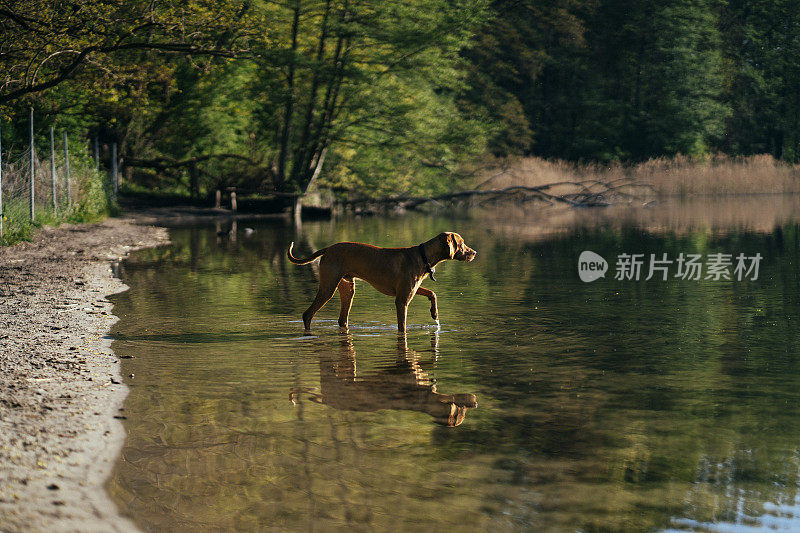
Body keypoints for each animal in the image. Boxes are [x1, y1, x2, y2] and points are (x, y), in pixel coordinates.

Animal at [288, 231, 476, 330]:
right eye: (462, 243)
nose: (474, 253)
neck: (423, 256)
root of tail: (328, 249)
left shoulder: (412, 289)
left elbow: (432, 293)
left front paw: (434, 313)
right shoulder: (402, 300)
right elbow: (402, 326)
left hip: (348, 289)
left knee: (342, 320)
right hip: (328, 288)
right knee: (307, 314)